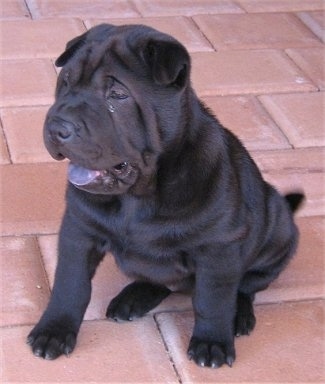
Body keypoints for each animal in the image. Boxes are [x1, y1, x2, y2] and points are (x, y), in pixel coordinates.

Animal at [26, 24, 302, 368]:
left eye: (118, 95)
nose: (56, 127)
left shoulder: (218, 249)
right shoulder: (79, 230)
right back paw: (133, 298)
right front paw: (54, 329)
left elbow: (213, 299)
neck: (137, 198)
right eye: (65, 82)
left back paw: (238, 315)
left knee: (245, 285)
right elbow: (70, 284)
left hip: (277, 234)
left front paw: (212, 341)